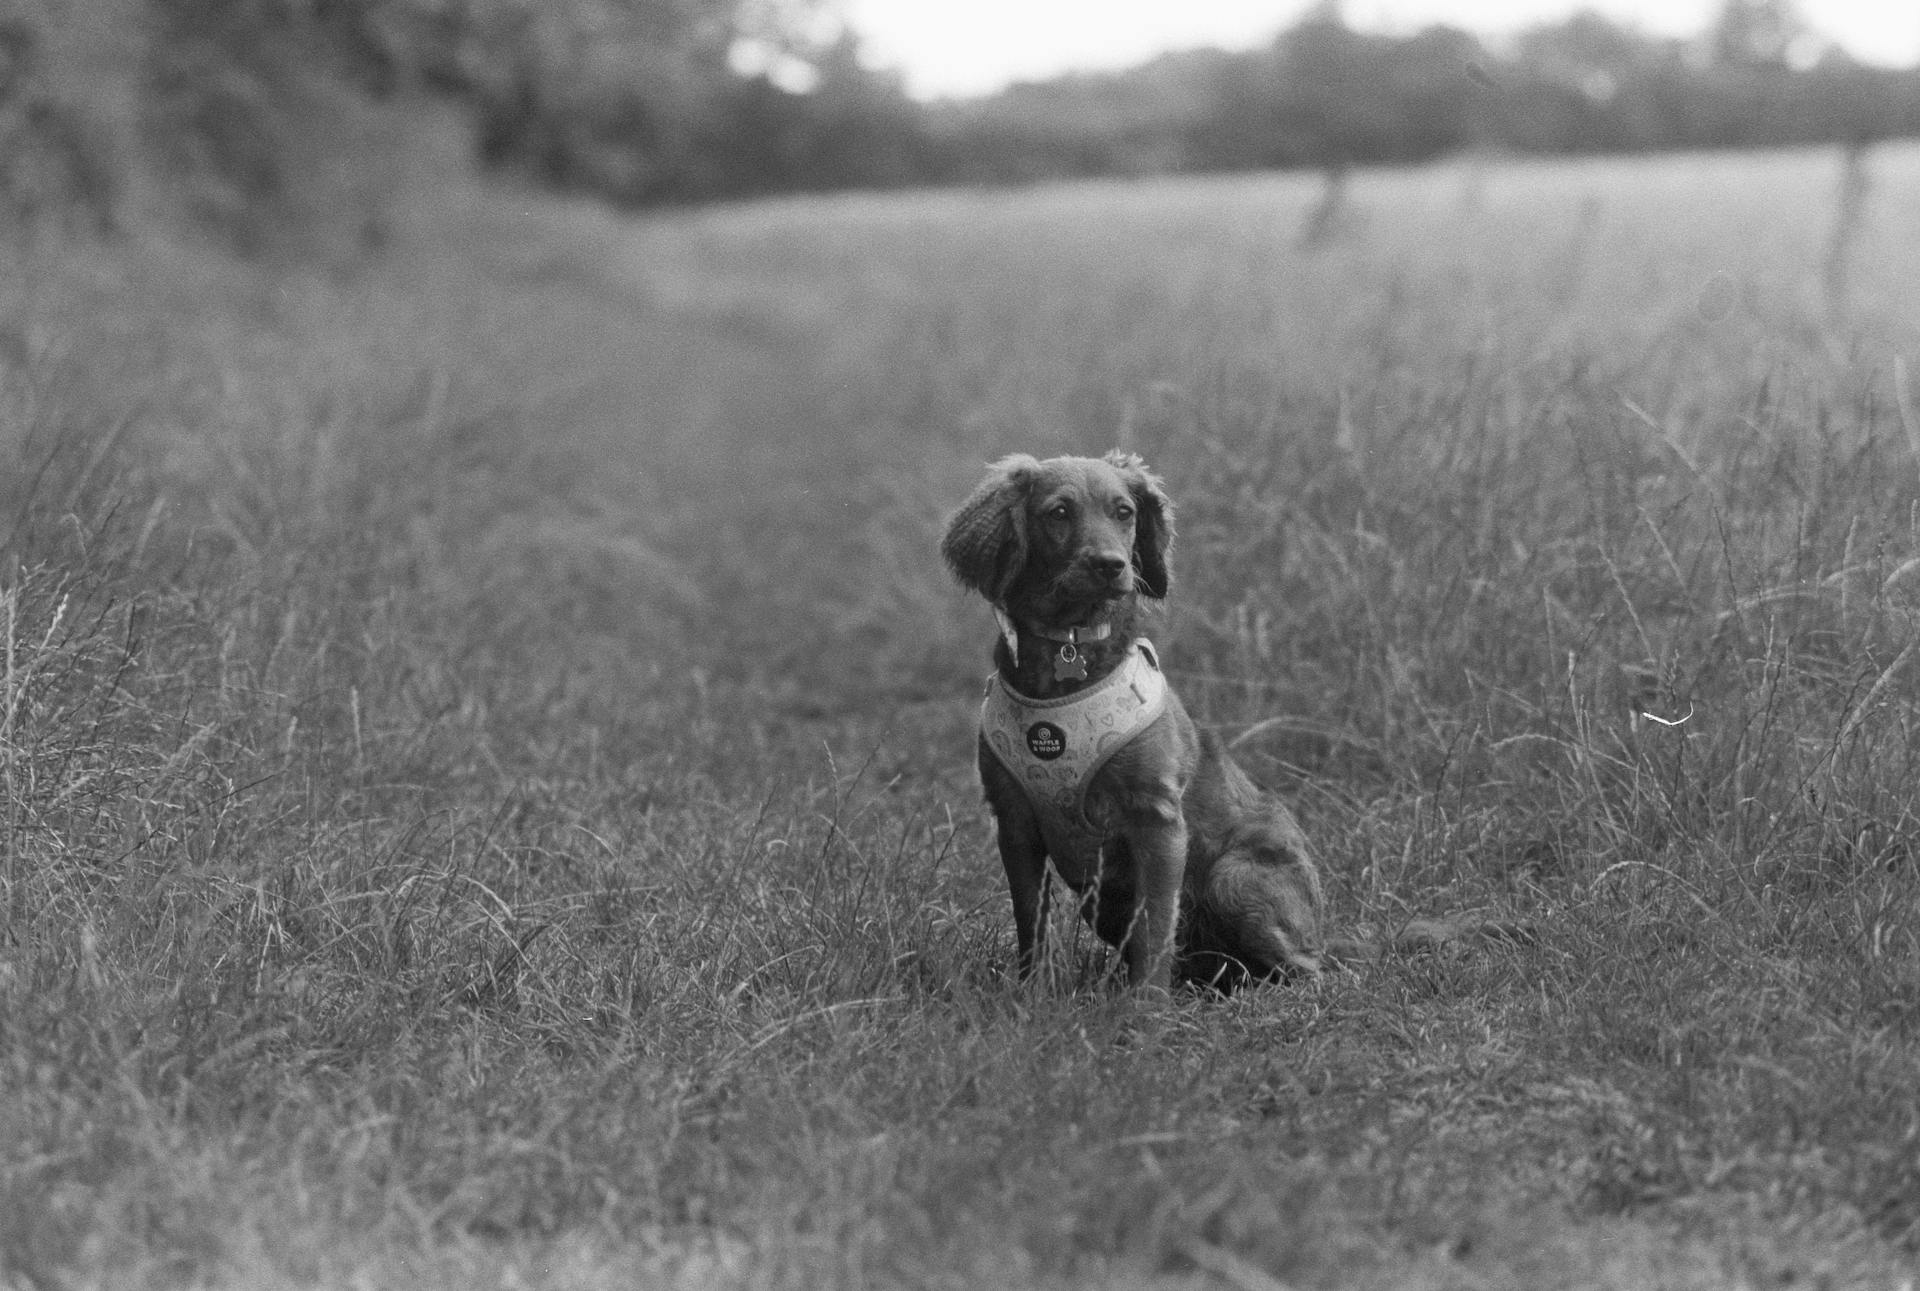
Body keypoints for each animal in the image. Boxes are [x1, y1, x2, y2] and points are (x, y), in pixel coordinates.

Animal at [936, 449, 1328, 991]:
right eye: (1059, 513)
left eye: (1124, 512)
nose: (1110, 565)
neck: (1070, 653)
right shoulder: (1014, 823)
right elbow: (1031, 922)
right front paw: (1033, 993)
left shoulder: (1156, 821)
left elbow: (1156, 926)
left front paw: (1144, 1006)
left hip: (1233, 876)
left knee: (1312, 971)